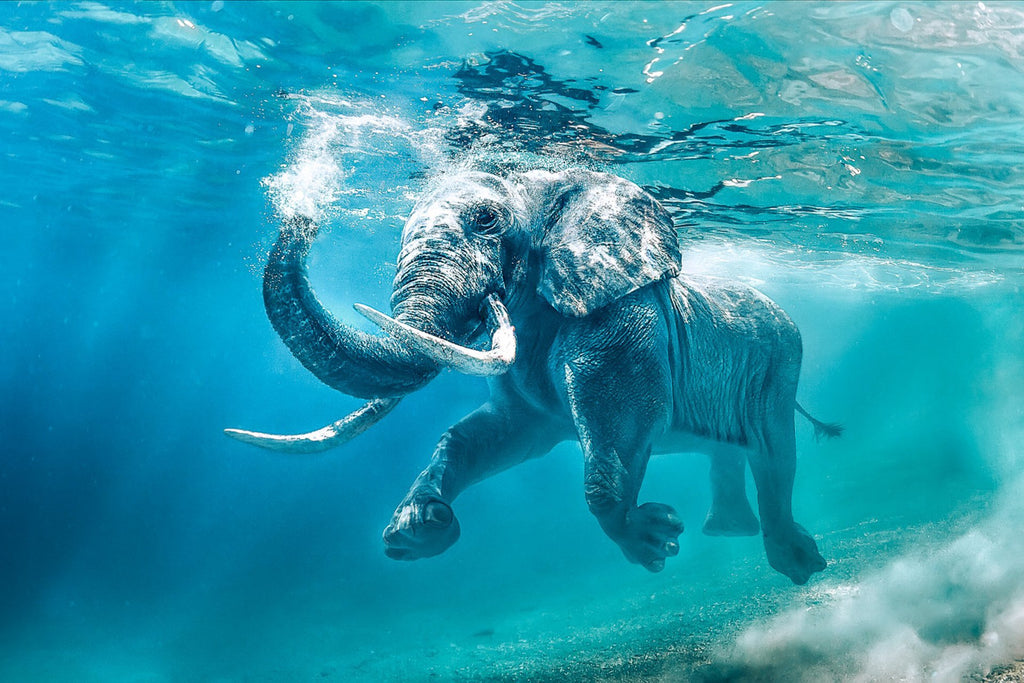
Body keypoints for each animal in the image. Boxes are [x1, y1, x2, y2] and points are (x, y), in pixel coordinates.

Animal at [226, 168, 840, 585]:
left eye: (486, 221)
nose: (305, 211)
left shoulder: (621, 323)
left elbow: (620, 432)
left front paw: (655, 541)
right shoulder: (526, 387)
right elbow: (490, 435)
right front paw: (417, 531)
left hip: (780, 363)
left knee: (774, 454)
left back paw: (800, 565)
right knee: (731, 452)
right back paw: (728, 533)